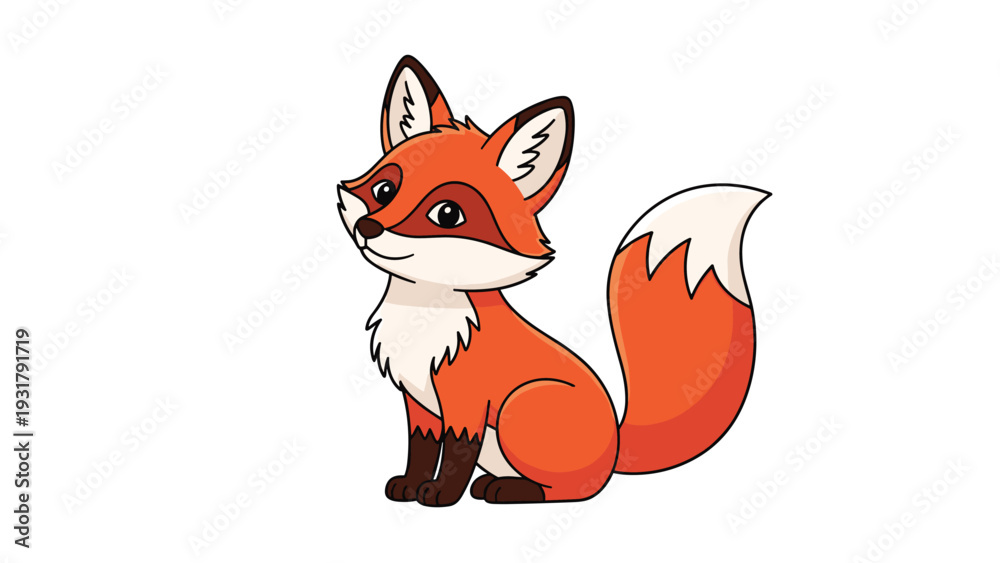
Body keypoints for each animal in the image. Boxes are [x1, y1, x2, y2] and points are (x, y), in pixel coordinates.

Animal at [338, 55, 769, 506]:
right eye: (384, 189)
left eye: (447, 213)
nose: (369, 229)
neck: (423, 314)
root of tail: (616, 444)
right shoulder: (418, 401)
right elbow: (420, 447)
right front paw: (409, 485)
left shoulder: (466, 401)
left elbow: (457, 452)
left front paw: (440, 494)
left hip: (521, 405)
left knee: (571, 490)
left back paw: (508, 490)